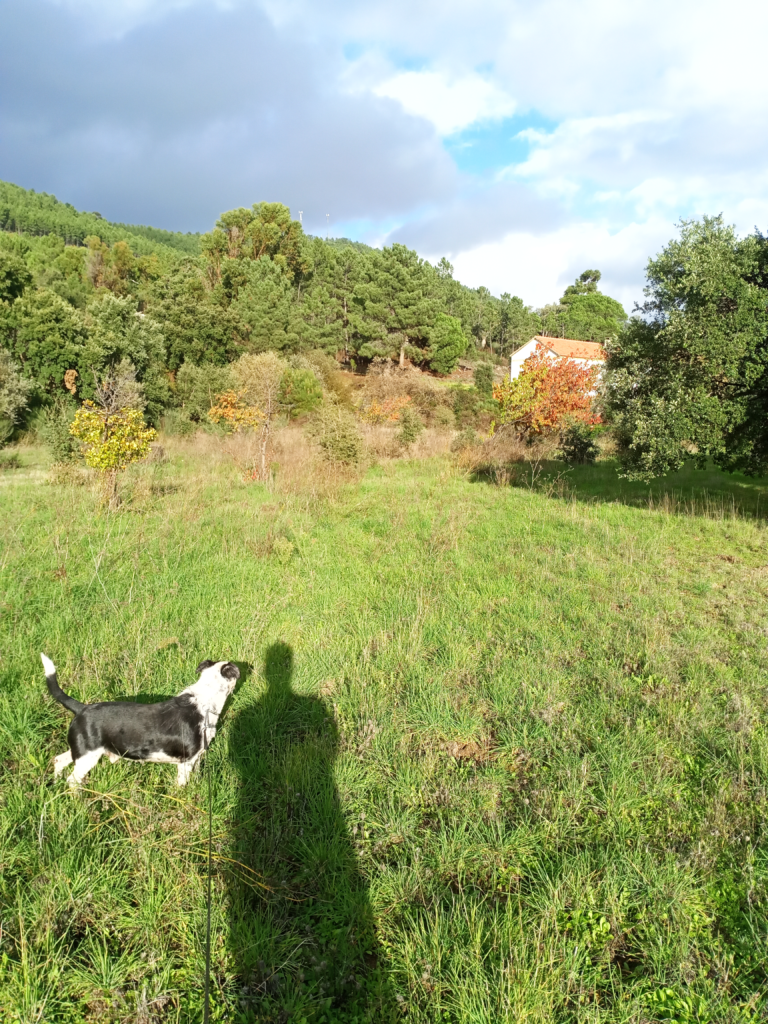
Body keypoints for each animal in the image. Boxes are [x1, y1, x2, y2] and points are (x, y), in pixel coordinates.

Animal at [41, 651, 240, 786]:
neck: (204, 701)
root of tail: (82, 708)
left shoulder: (197, 758)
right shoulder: (186, 761)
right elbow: (182, 785)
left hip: (80, 750)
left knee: (58, 761)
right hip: (88, 757)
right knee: (72, 780)